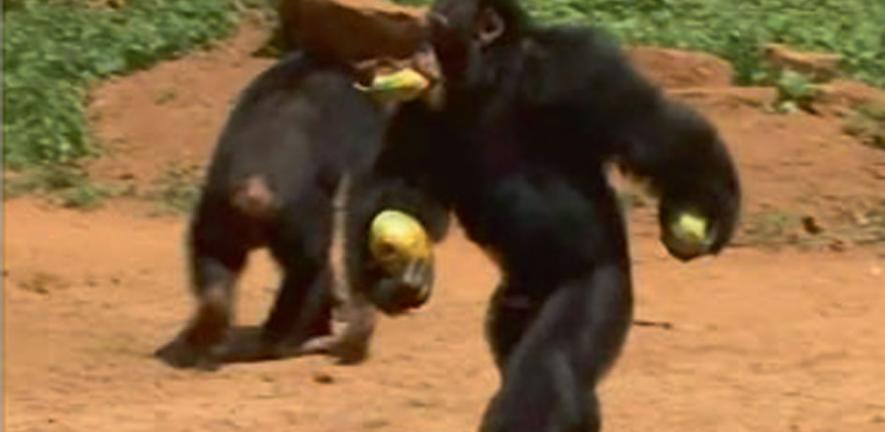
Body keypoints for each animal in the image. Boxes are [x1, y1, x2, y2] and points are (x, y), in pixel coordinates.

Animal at [342, 0, 744, 430]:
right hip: (510, 308)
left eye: (437, 29)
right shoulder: (419, 106)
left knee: (552, 363)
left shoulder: (582, 67)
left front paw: (715, 210)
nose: (418, 52)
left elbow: (657, 134)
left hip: (601, 285)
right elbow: (404, 182)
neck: (494, 80)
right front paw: (402, 277)